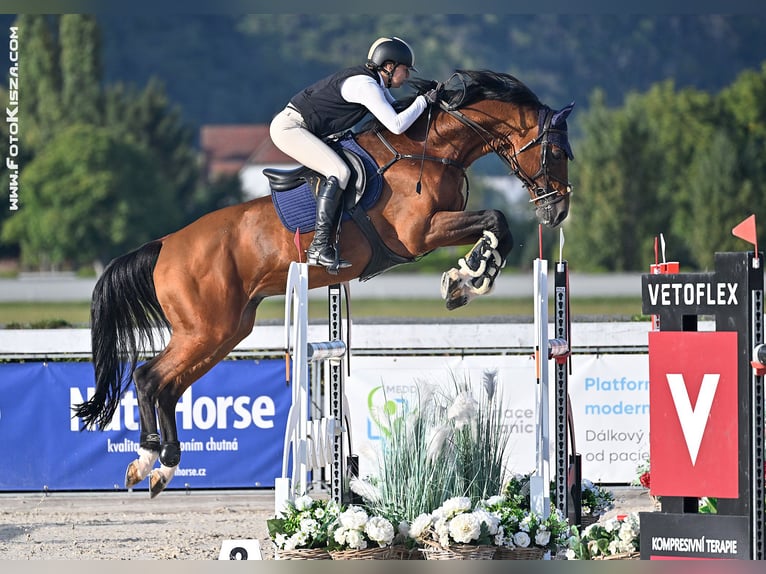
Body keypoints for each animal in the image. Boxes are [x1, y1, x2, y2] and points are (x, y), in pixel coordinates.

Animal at [73, 70, 576, 498]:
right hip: (205, 330)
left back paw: (162, 466)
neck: (431, 149)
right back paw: (147, 461)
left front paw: (466, 279)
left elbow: (496, 228)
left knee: (168, 386)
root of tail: (164, 246)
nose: (557, 212)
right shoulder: (421, 234)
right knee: (149, 378)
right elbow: (496, 218)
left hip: (225, 331)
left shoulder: (439, 227)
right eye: (555, 153)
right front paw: (469, 277)